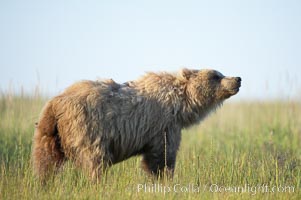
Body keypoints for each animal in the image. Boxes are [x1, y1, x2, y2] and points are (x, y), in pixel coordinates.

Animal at [31, 68, 240, 181]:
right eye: (216, 75)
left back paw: (43, 183)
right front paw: (165, 179)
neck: (181, 104)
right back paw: (98, 183)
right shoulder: (163, 124)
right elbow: (162, 156)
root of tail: (56, 104)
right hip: (86, 126)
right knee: (94, 159)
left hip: (47, 131)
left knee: (45, 161)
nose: (237, 78)